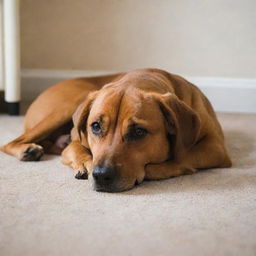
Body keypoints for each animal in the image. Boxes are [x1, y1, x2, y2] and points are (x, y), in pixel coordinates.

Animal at [0, 68, 232, 192]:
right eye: (95, 126)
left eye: (138, 131)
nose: (101, 176)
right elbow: (75, 150)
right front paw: (85, 163)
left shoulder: (216, 148)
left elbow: (180, 157)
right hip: (69, 104)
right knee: (9, 143)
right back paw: (27, 150)